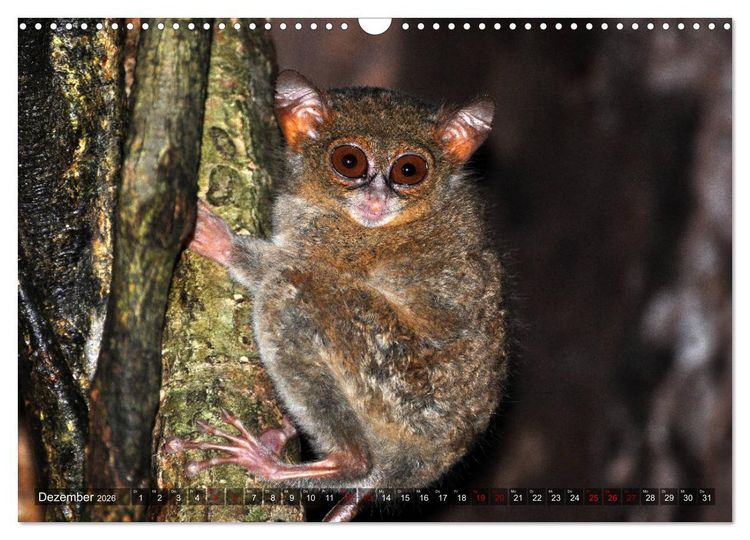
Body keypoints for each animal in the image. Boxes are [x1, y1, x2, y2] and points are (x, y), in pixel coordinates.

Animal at [165, 70, 508, 522]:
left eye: (409, 170)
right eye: (350, 163)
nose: (377, 198)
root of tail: (422, 467)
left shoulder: (339, 243)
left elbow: (279, 266)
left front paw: (218, 240)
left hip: (402, 383)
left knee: (292, 288)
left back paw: (281, 461)